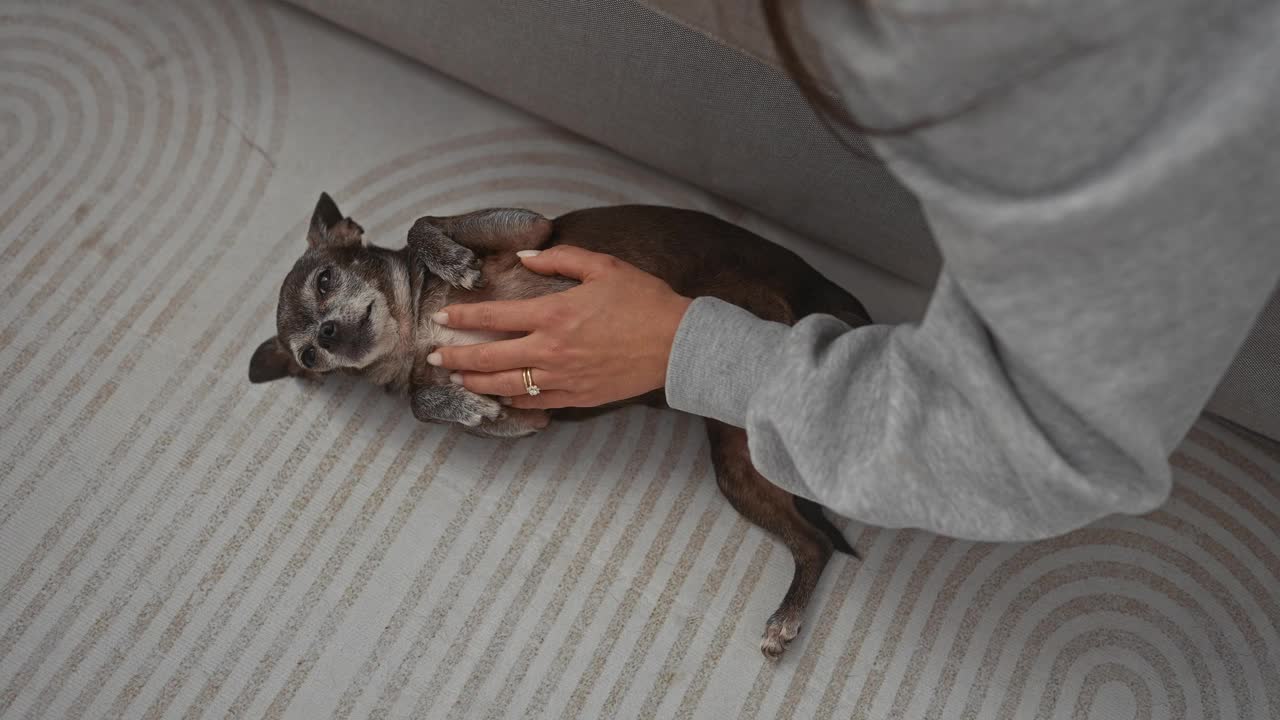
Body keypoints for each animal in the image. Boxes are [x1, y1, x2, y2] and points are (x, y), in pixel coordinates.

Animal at [249, 192, 870, 655]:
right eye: (308, 357)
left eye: (326, 279)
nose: (327, 335)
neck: (417, 327)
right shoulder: (530, 411)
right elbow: (421, 401)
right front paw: (458, 405)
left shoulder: (528, 228)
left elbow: (423, 223)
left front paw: (450, 259)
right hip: (739, 471)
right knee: (814, 543)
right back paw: (786, 619)